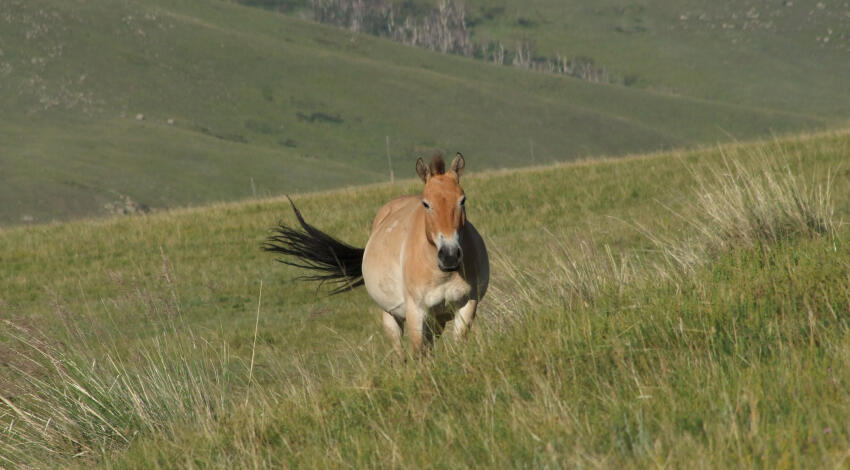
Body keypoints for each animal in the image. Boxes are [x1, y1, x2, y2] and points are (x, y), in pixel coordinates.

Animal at [263, 153, 489, 358]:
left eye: (462, 200)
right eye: (426, 203)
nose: (449, 256)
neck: (441, 272)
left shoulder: (467, 305)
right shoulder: (416, 313)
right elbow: (418, 355)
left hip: (438, 320)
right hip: (391, 318)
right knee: (401, 354)